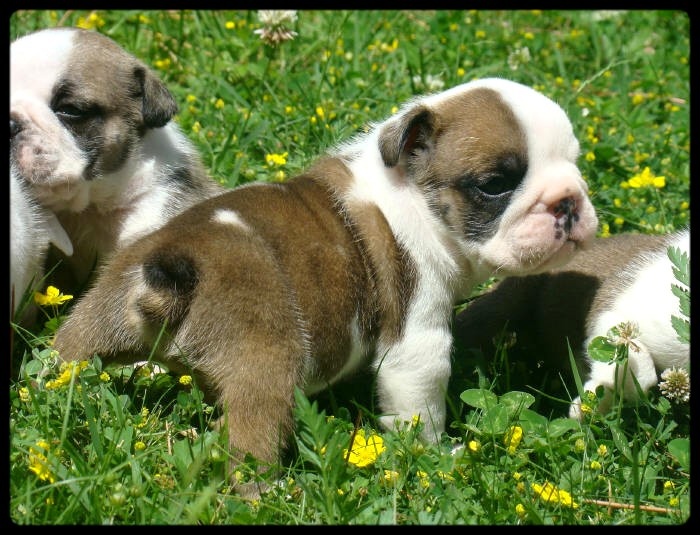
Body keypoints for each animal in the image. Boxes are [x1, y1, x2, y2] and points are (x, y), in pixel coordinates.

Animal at [52, 78, 598, 492]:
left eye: (575, 163)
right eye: (495, 185)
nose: (569, 201)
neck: (411, 196)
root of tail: (170, 265)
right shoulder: (417, 343)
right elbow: (420, 411)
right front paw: (436, 455)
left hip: (101, 311)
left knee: (68, 352)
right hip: (266, 361)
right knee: (250, 435)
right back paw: (267, 492)